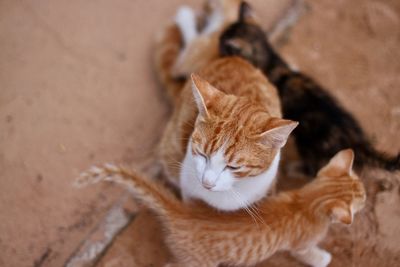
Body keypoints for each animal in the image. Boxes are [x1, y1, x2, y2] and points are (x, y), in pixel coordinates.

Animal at [76, 150, 368, 266]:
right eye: (363, 198)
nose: (366, 198)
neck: (307, 199)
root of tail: (182, 212)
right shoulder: (302, 245)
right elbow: (310, 255)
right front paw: (324, 258)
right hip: (200, 263)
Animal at [219, 2, 400, 177]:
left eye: (222, 43)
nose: (219, 47)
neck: (271, 61)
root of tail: (359, 143)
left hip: (308, 145)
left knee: (313, 169)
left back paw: (295, 169)